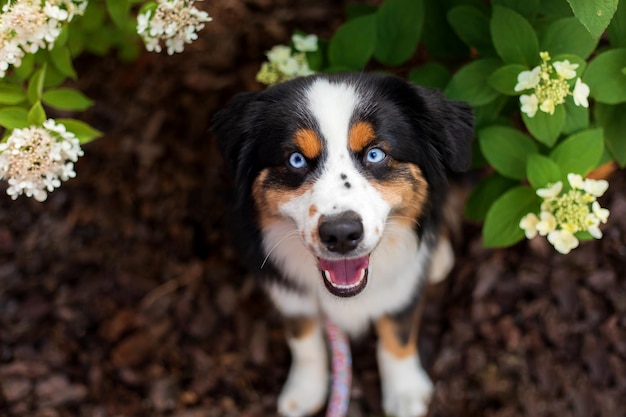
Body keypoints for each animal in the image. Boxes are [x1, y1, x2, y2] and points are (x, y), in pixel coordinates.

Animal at [212, 72, 470, 416]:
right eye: (296, 160)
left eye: (375, 154)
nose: (342, 233)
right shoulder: (288, 289)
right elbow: (303, 337)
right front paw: (305, 390)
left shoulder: (402, 287)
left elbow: (398, 334)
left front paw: (405, 393)